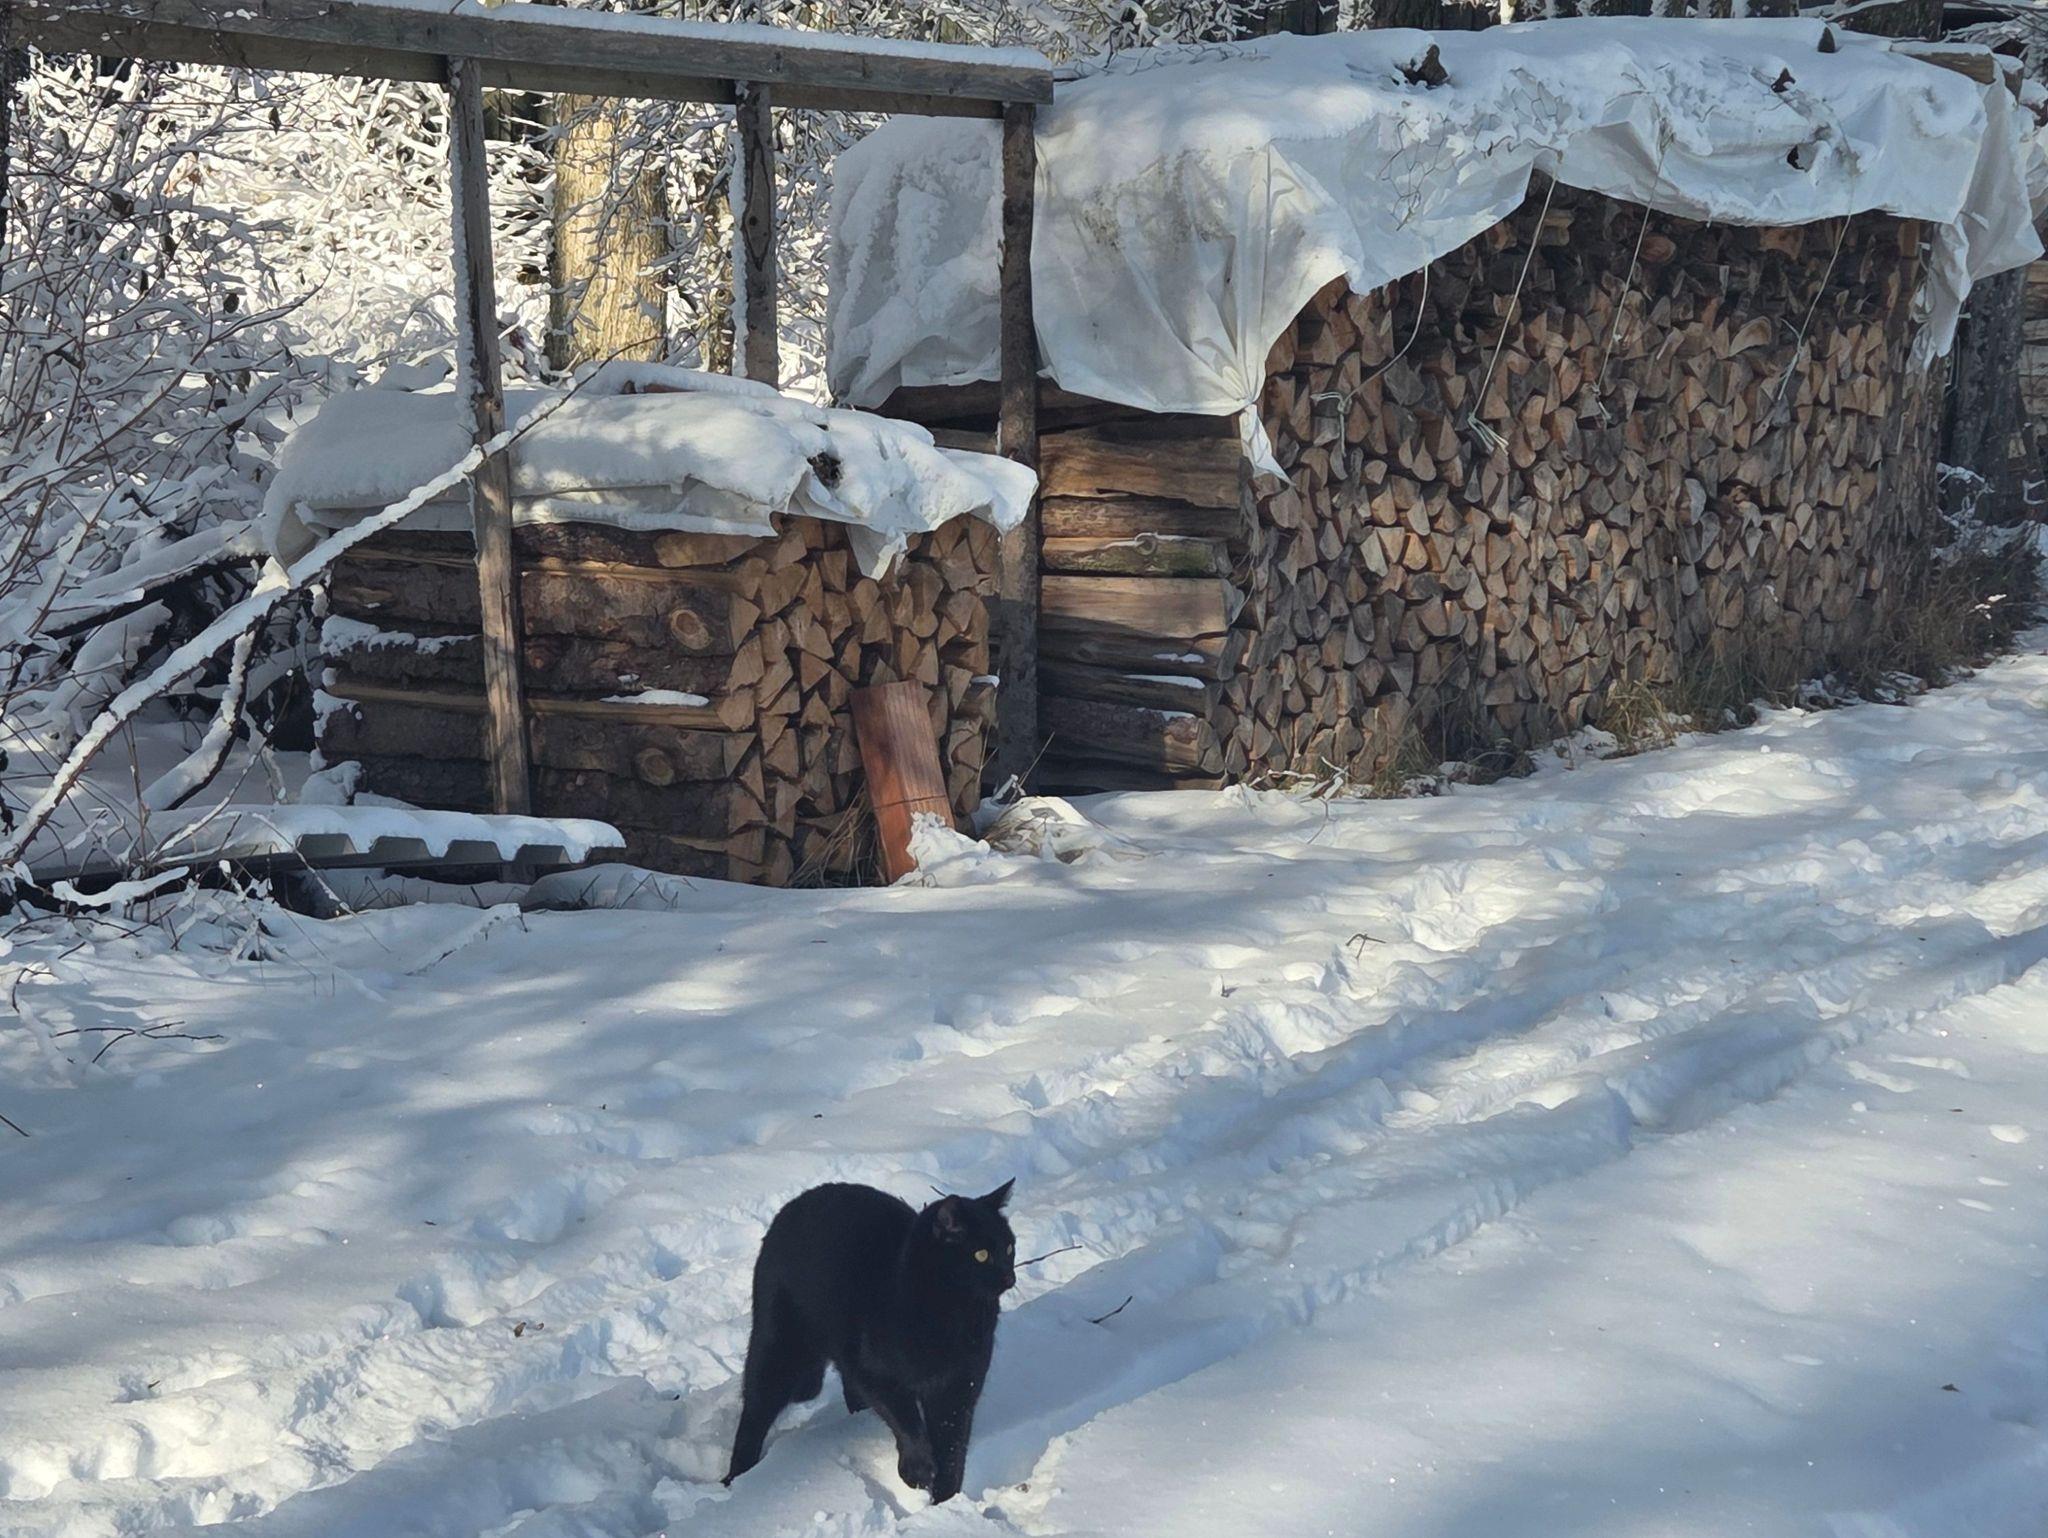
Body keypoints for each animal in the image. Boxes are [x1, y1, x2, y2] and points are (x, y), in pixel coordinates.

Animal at [724, 1178, 1017, 1503]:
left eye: (1009, 1247)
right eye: (981, 1255)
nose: (1009, 1277)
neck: (953, 1313)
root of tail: (793, 1206)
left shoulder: (959, 1385)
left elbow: (953, 1444)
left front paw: (945, 1501)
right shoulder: (875, 1373)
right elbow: (906, 1421)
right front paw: (918, 1471)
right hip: (779, 1349)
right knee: (755, 1412)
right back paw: (736, 1481)